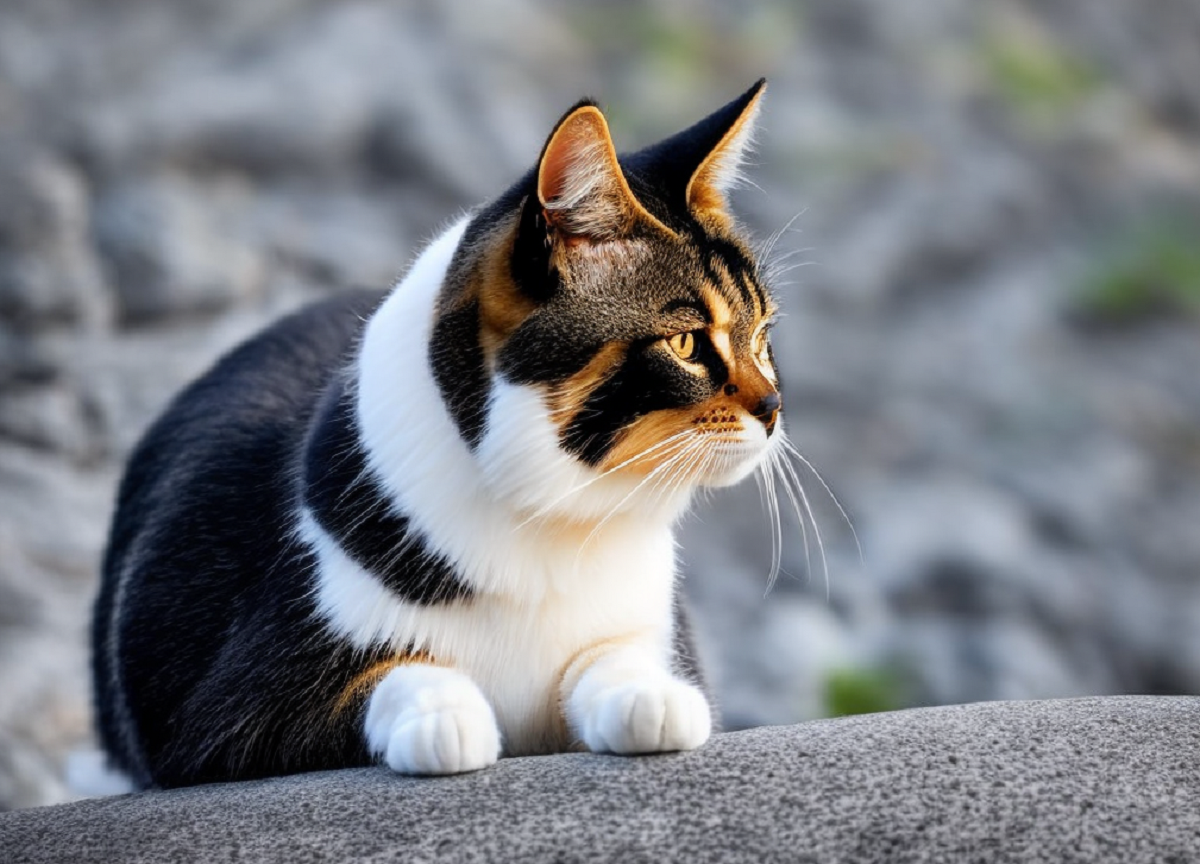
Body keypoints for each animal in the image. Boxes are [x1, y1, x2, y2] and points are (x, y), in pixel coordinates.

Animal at [93, 77, 787, 787]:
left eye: (763, 334)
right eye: (686, 344)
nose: (774, 406)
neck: (555, 523)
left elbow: (608, 660)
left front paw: (648, 695)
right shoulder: (223, 717)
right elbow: (395, 671)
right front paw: (443, 718)